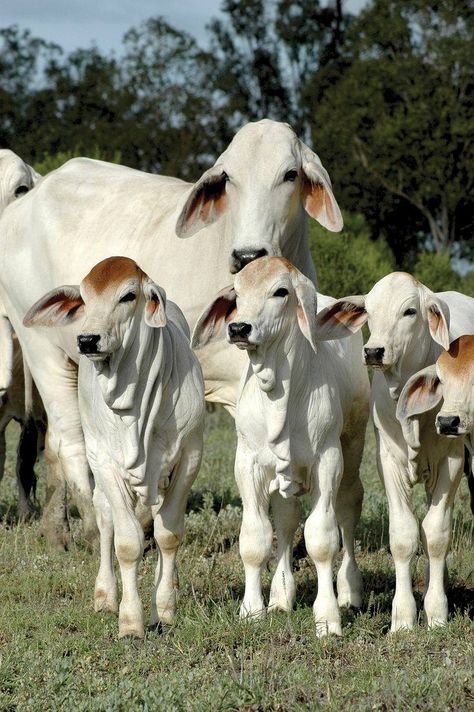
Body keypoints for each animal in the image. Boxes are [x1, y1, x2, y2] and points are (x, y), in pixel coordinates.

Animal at [0, 119, 344, 544]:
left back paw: (56, 527)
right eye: (228, 177)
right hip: (41, 349)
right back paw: (92, 528)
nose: (247, 255)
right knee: (69, 439)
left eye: (290, 174)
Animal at [193, 256, 370, 636]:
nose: (239, 328)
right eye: (237, 294)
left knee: (348, 513)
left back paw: (350, 592)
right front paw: (252, 609)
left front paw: (328, 617)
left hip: (353, 446)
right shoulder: (247, 463)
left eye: (280, 292)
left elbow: (322, 539)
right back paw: (280, 595)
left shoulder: (328, 461)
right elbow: (256, 539)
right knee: (287, 522)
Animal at [314, 272, 474, 628]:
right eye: (369, 311)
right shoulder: (388, 462)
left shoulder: (452, 462)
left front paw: (437, 611)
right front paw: (403, 617)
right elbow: (404, 535)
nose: (374, 350)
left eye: (409, 311)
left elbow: (437, 534)